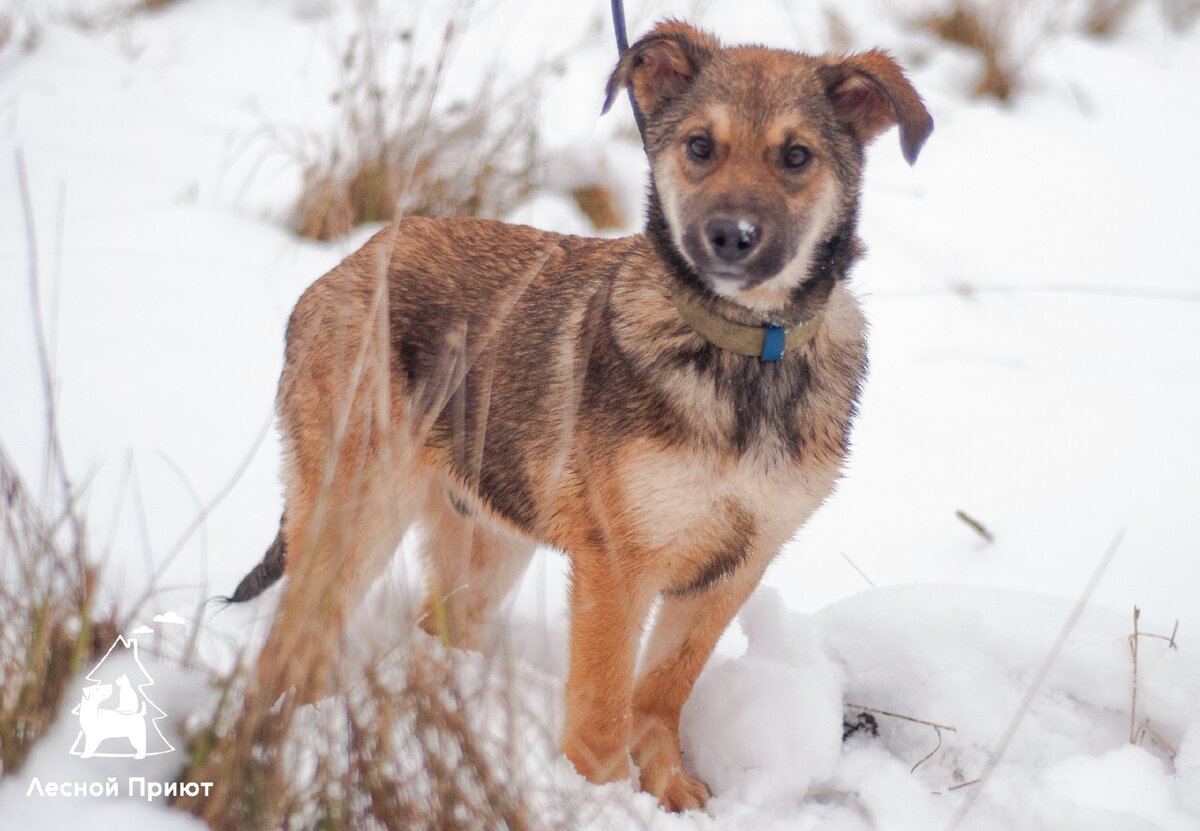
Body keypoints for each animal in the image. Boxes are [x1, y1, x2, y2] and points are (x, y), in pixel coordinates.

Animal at [229, 19, 931, 811]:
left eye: (796, 156)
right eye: (699, 147)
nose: (730, 236)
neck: (746, 353)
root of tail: (342, 269)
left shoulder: (735, 564)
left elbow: (663, 688)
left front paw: (669, 788)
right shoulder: (617, 564)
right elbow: (602, 706)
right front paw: (603, 797)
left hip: (484, 543)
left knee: (433, 633)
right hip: (357, 512)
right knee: (289, 646)